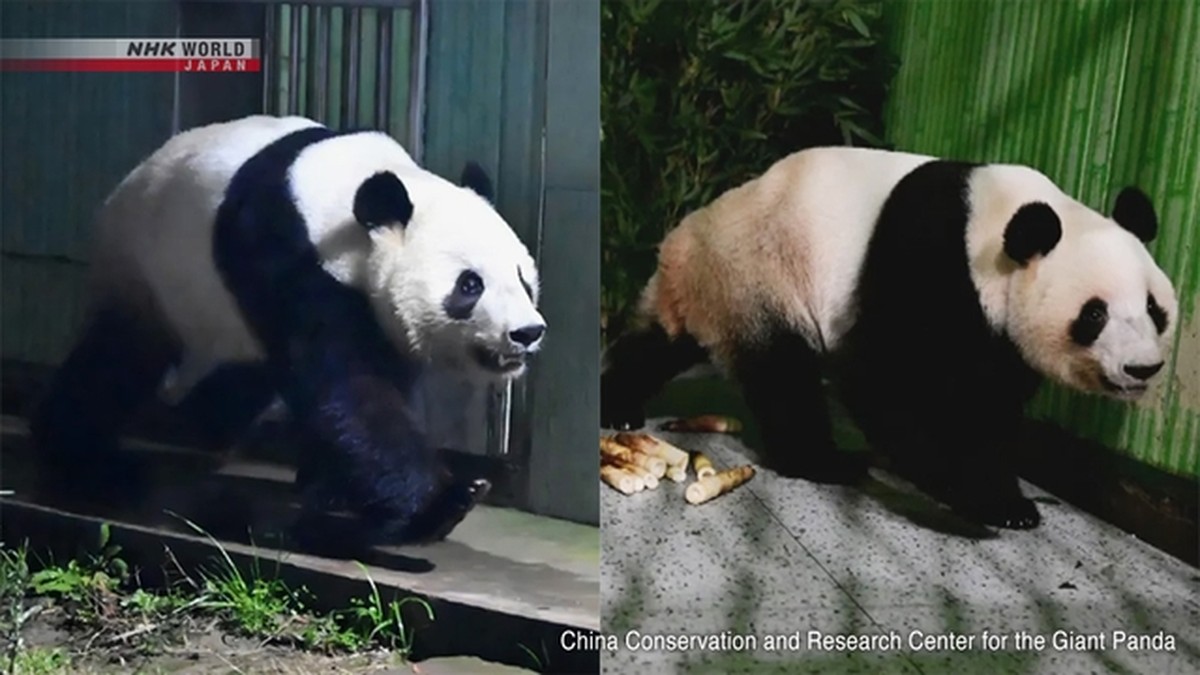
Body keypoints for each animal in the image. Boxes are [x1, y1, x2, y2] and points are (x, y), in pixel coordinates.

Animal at [31, 114, 546, 548]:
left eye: (523, 278)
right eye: (470, 285)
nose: (527, 332)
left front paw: (336, 489)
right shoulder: (284, 254)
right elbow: (349, 389)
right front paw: (443, 501)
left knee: (243, 377)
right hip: (146, 270)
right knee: (117, 361)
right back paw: (83, 453)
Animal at [600, 146, 1178, 529]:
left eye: (1155, 308)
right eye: (1094, 314)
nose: (1142, 368)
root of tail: (681, 245)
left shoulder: (997, 334)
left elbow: (989, 399)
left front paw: (1003, 490)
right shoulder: (928, 255)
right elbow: (886, 379)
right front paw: (985, 496)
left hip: (713, 293)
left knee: (655, 346)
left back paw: (618, 406)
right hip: (758, 277)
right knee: (785, 376)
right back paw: (824, 461)